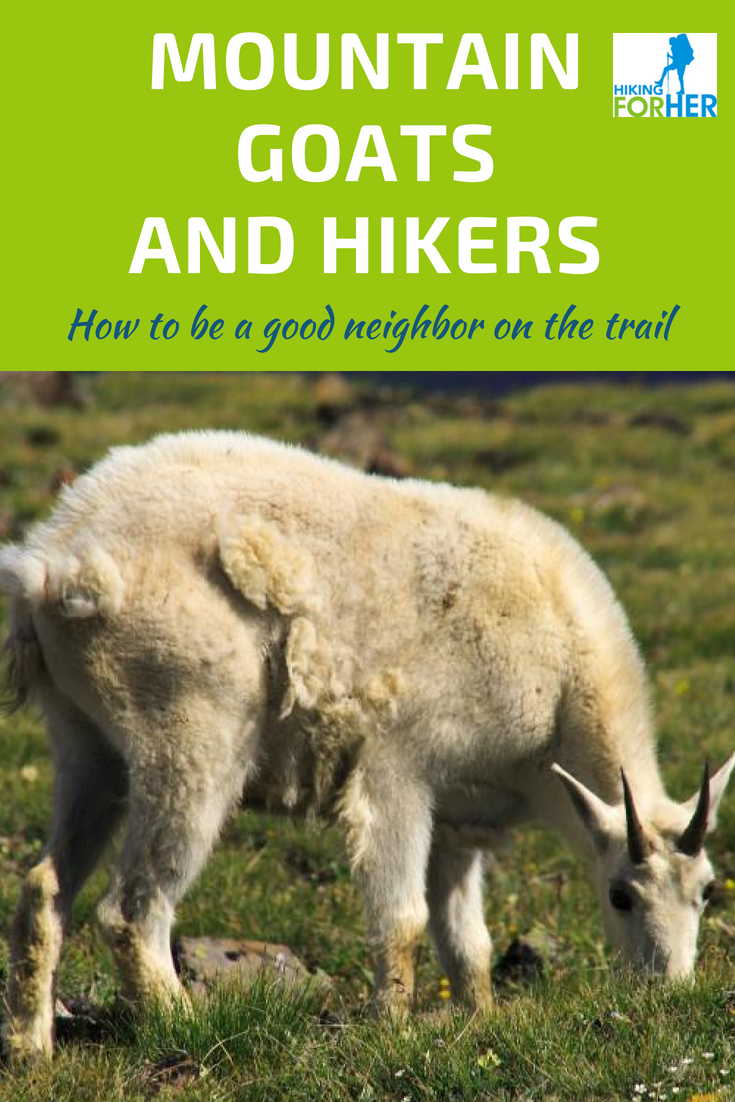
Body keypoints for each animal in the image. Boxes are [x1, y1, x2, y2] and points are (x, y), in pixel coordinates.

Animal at [1, 431, 732, 1061]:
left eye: (706, 892)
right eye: (619, 895)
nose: (667, 992)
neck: (559, 671)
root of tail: (51, 566)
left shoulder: (460, 816)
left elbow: (465, 939)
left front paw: (480, 1018)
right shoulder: (400, 768)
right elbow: (403, 918)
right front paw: (393, 1029)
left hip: (85, 743)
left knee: (46, 885)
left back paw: (32, 1047)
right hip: (188, 730)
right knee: (132, 909)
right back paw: (186, 1024)